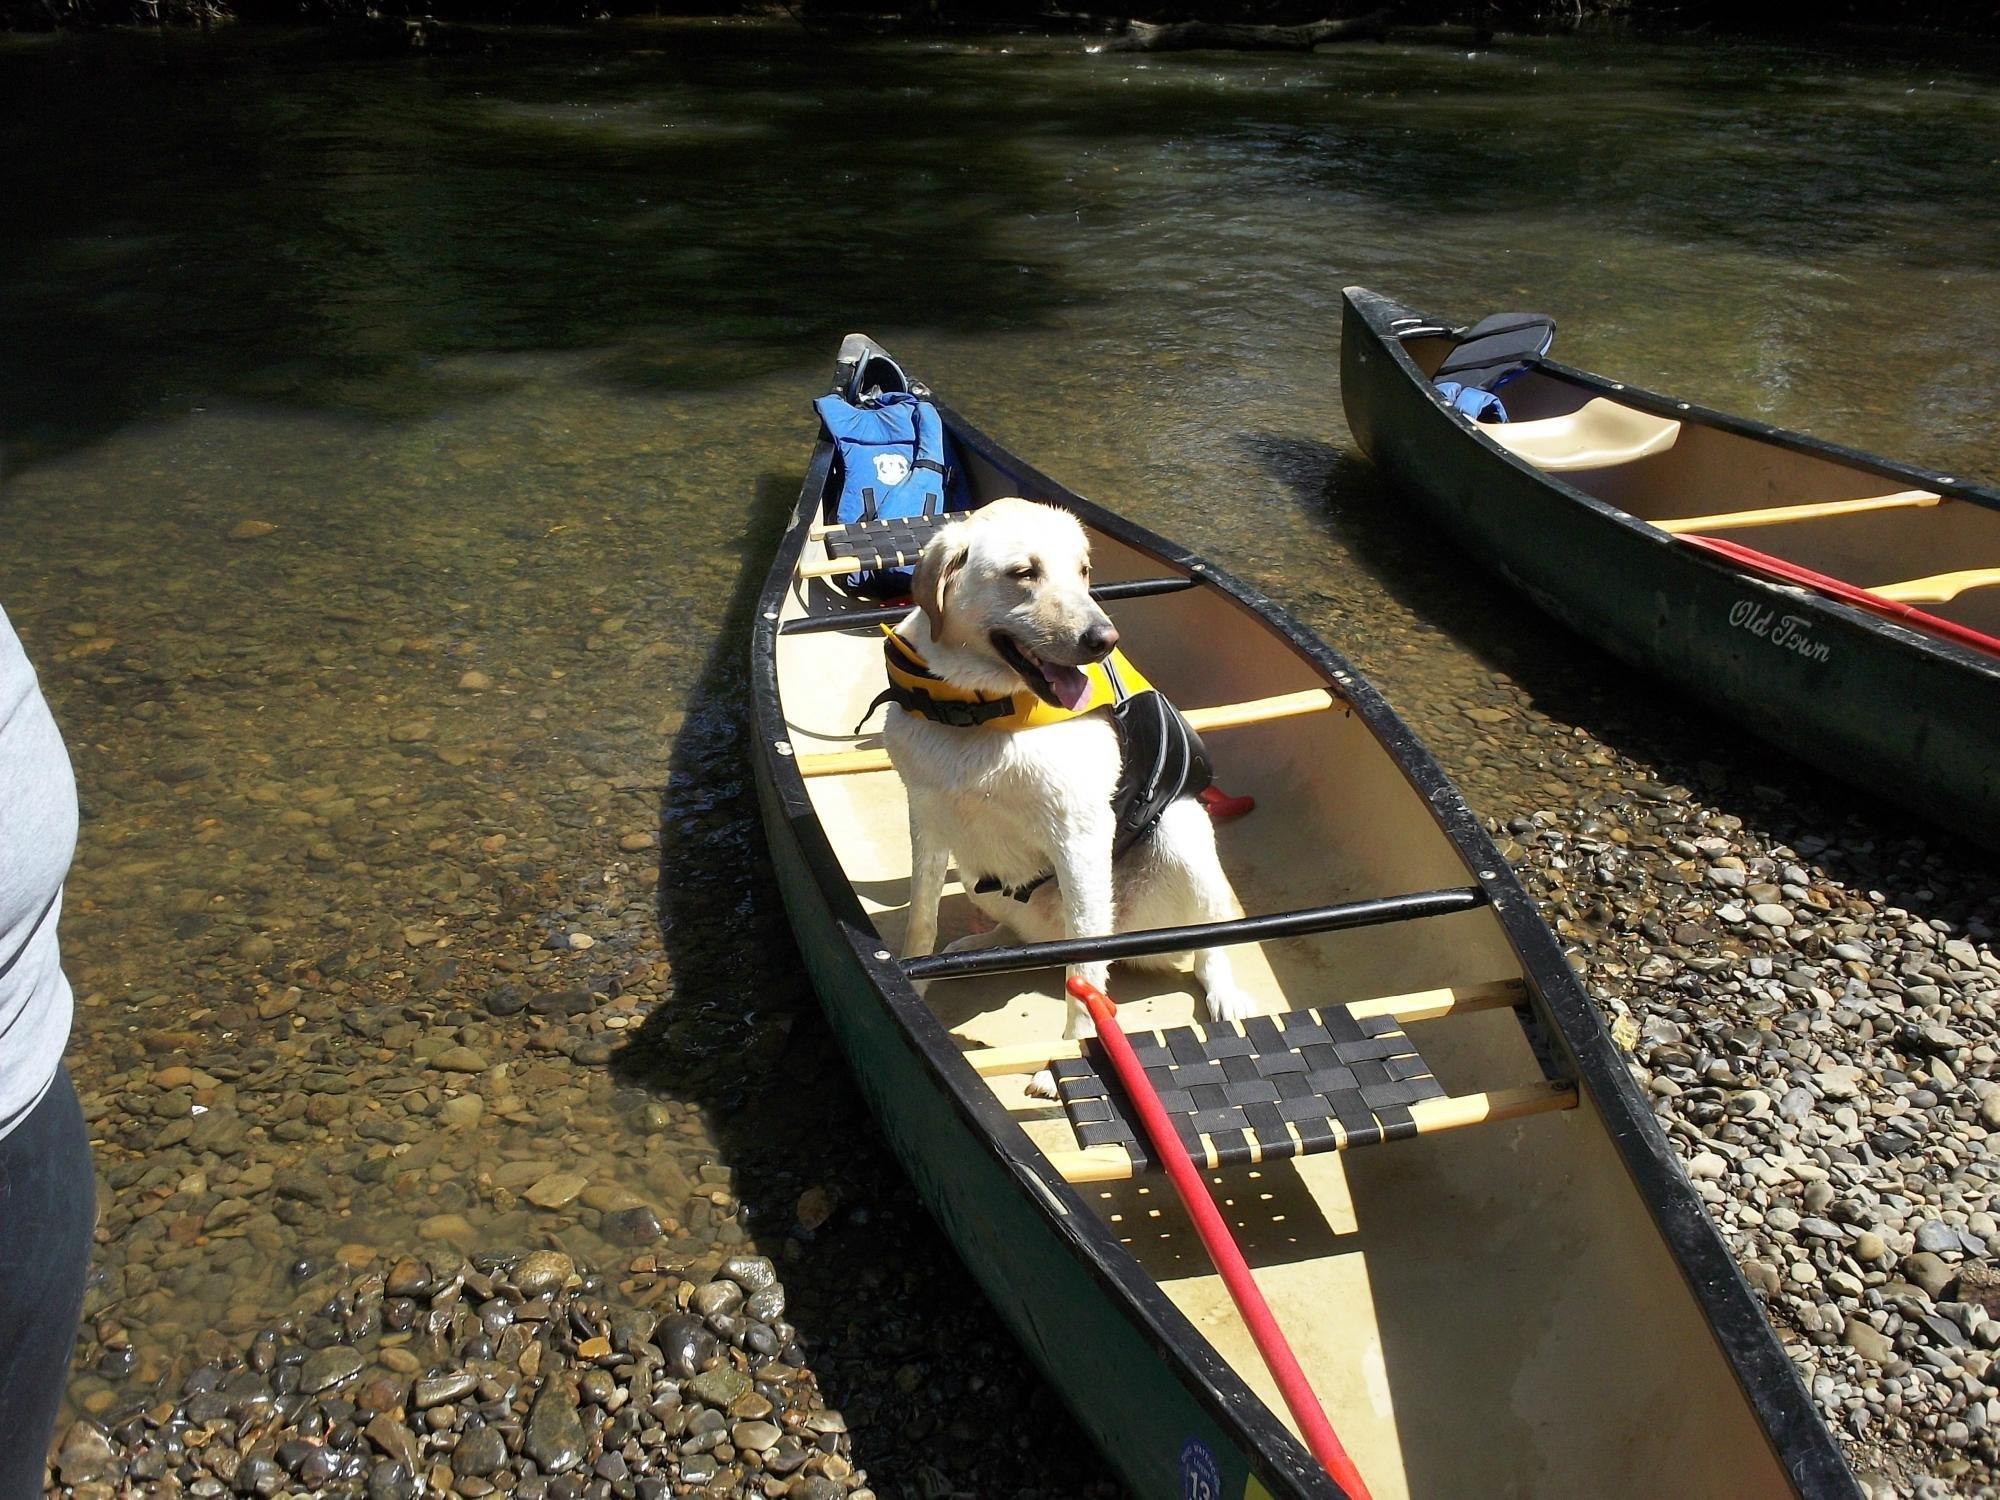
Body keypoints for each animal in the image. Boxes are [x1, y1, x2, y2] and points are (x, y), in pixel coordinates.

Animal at [888, 500, 1256, 1048]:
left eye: (1083, 571)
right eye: (1024, 573)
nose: (1105, 640)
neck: (981, 712)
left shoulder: (1080, 837)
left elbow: (1083, 969)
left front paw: (1080, 1043)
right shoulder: (926, 819)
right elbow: (920, 924)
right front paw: (917, 980)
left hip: (1182, 835)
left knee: (1206, 942)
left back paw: (1224, 991)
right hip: (977, 877)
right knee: (1021, 934)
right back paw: (985, 946)